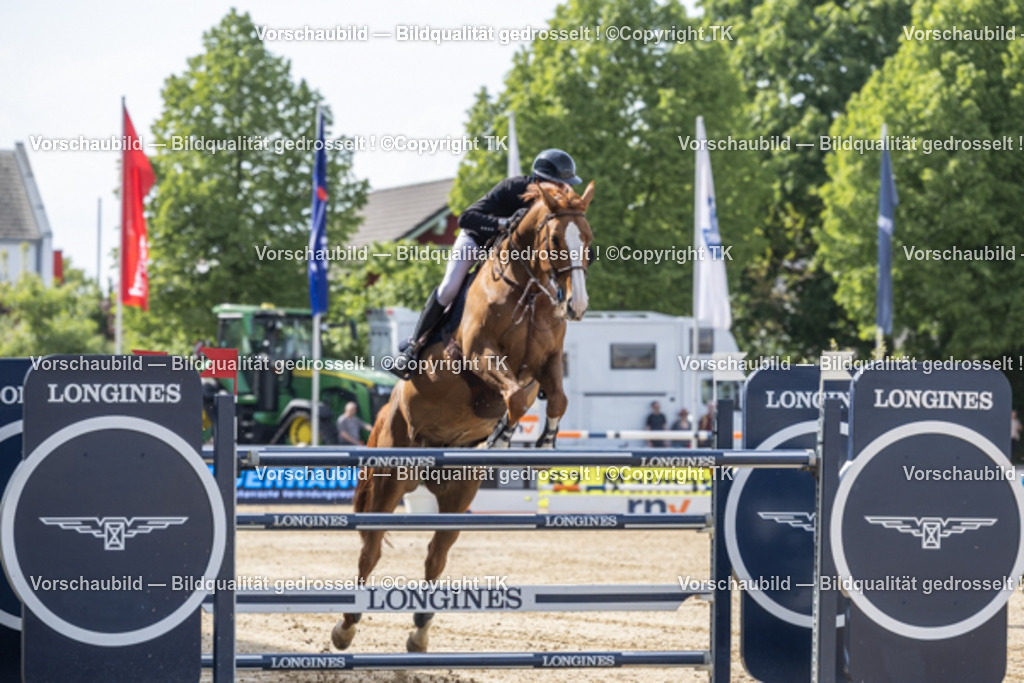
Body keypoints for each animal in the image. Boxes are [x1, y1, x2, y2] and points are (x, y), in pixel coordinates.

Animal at [331, 180, 595, 653]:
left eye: (589, 242)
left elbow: (555, 399)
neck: (529, 292)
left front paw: (544, 441)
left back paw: (420, 630)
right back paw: (346, 626)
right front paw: (504, 434)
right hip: (390, 477)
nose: (577, 305)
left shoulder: (547, 363)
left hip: (458, 491)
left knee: (437, 552)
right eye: (555, 240)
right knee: (371, 549)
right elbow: (516, 396)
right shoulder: (478, 354)